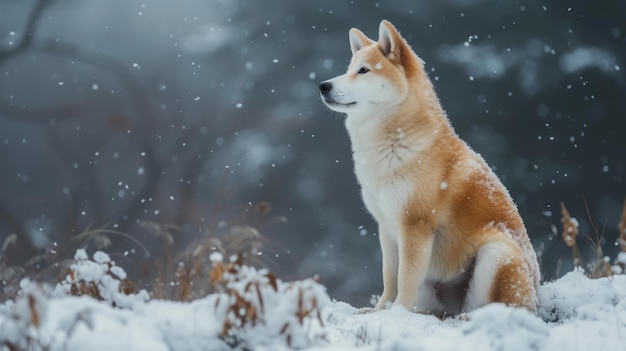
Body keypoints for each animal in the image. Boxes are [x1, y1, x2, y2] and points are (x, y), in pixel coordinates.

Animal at [320, 20, 540, 316]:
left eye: (364, 70)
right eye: (348, 68)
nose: (323, 85)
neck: (393, 147)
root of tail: (538, 298)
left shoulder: (415, 224)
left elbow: (405, 278)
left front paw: (397, 313)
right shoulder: (386, 227)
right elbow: (390, 278)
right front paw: (380, 311)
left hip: (496, 254)